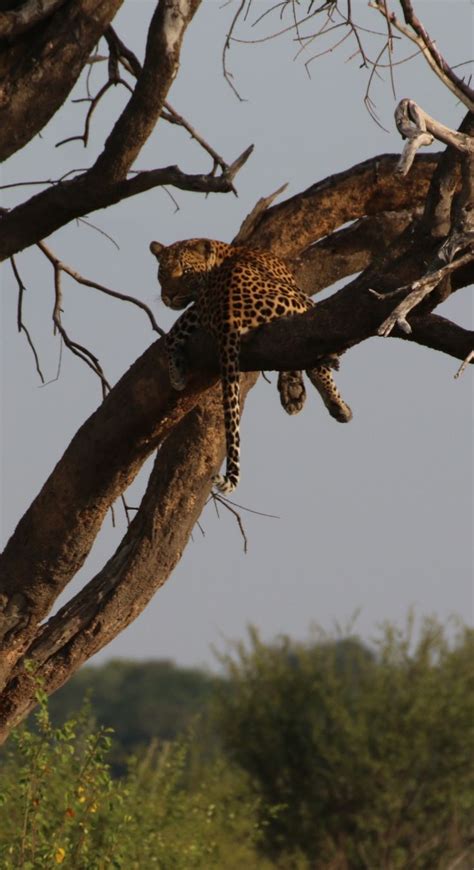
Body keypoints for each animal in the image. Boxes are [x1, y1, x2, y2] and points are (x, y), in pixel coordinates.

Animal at [149, 238, 352, 498]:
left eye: (185, 272)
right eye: (163, 273)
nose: (169, 296)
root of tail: (228, 315)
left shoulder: (198, 307)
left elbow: (176, 329)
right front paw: (316, 396)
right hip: (296, 300)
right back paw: (336, 391)